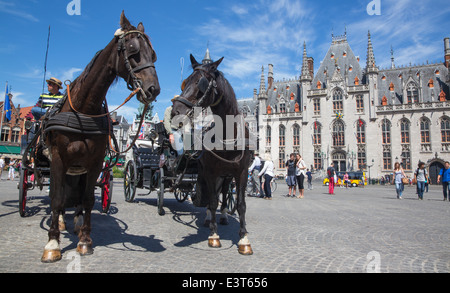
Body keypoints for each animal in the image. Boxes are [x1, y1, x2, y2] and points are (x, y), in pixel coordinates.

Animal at [40, 12, 160, 262]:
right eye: (132, 50)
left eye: (153, 54)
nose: (154, 89)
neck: (84, 108)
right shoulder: (58, 159)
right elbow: (56, 198)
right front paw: (52, 244)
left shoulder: (94, 162)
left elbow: (87, 199)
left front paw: (84, 240)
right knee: (58, 193)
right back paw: (61, 223)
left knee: (77, 195)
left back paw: (76, 222)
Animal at [171, 54, 253, 253]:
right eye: (184, 83)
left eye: (201, 83)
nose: (175, 112)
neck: (228, 135)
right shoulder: (210, 172)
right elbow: (213, 200)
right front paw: (214, 236)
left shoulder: (241, 172)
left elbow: (240, 204)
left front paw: (244, 239)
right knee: (212, 196)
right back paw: (209, 218)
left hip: (227, 176)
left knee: (223, 193)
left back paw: (223, 216)